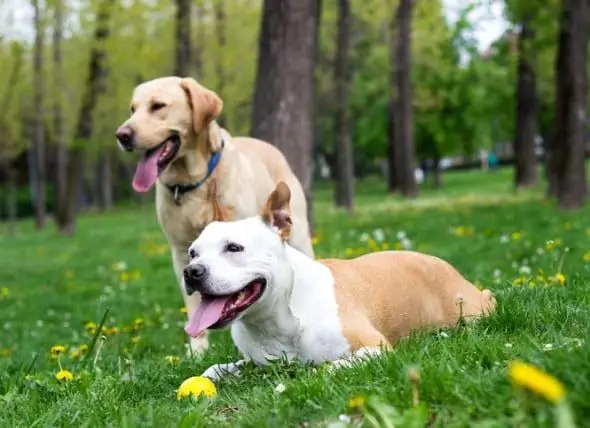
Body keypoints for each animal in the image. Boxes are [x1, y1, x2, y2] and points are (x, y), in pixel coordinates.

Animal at [114, 76, 314, 354]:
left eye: (158, 106)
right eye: (132, 109)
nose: (122, 135)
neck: (193, 183)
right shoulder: (180, 253)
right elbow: (196, 304)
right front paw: (197, 351)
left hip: (300, 237)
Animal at [183, 182, 498, 380]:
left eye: (234, 248)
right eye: (192, 253)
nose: (191, 272)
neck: (280, 318)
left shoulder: (374, 349)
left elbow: (329, 367)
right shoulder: (253, 362)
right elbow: (214, 369)